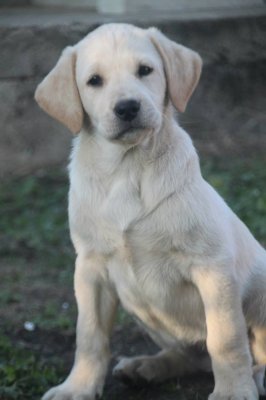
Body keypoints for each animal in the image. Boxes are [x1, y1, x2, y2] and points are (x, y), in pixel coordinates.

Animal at [35, 22, 266, 400]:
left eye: (145, 70)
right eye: (94, 80)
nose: (128, 107)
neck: (128, 168)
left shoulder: (212, 266)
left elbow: (226, 338)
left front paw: (233, 391)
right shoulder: (90, 268)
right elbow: (89, 335)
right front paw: (78, 387)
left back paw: (258, 377)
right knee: (192, 356)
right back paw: (144, 367)